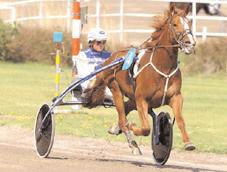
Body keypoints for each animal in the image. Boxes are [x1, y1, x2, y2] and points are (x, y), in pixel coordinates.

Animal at [84, 3, 196, 152]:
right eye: (175, 24)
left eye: (189, 22)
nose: (190, 44)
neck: (163, 67)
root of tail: (112, 58)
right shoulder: (142, 99)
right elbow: (146, 128)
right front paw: (132, 126)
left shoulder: (175, 96)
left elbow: (180, 120)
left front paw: (188, 143)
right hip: (116, 89)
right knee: (122, 115)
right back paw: (129, 136)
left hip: (132, 97)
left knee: (126, 108)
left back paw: (117, 129)